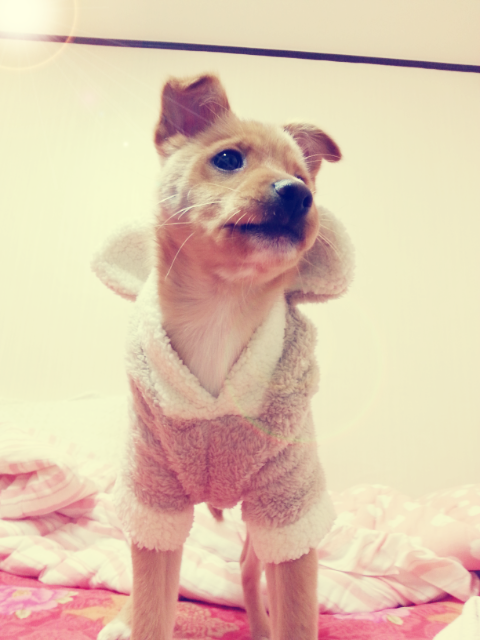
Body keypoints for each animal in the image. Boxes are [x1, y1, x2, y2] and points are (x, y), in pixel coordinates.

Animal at [94, 74, 353, 640]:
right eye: (229, 159)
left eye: (303, 176)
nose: (298, 194)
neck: (221, 311)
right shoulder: (155, 501)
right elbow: (152, 607)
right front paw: (137, 620)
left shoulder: (286, 512)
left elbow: (296, 612)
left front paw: (282, 624)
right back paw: (121, 620)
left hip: (260, 529)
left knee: (248, 570)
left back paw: (259, 625)